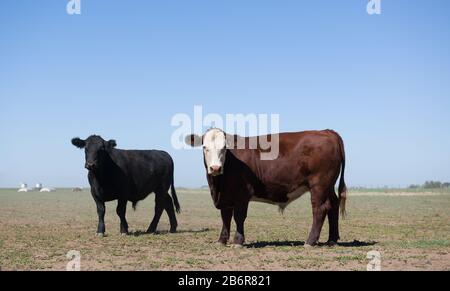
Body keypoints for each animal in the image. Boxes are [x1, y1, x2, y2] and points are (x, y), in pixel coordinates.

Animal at [186, 129, 348, 248]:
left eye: (224, 148)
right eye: (205, 147)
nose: (215, 168)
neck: (218, 185)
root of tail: (327, 131)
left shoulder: (242, 194)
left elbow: (239, 217)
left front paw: (238, 241)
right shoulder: (225, 196)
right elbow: (225, 217)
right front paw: (221, 240)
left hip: (319, 185)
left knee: (319, 209)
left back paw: (310, 242)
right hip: (328, 186)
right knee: (333, 205)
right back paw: (332, 240)